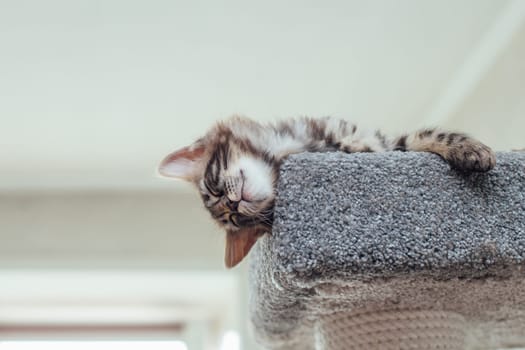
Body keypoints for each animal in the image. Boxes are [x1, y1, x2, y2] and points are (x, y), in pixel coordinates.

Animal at [158, 116, 494, 266]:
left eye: (214, 189)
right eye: (238, 221)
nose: (234, 204)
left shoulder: (385, 144)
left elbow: (428, 134)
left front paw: (472, 150)